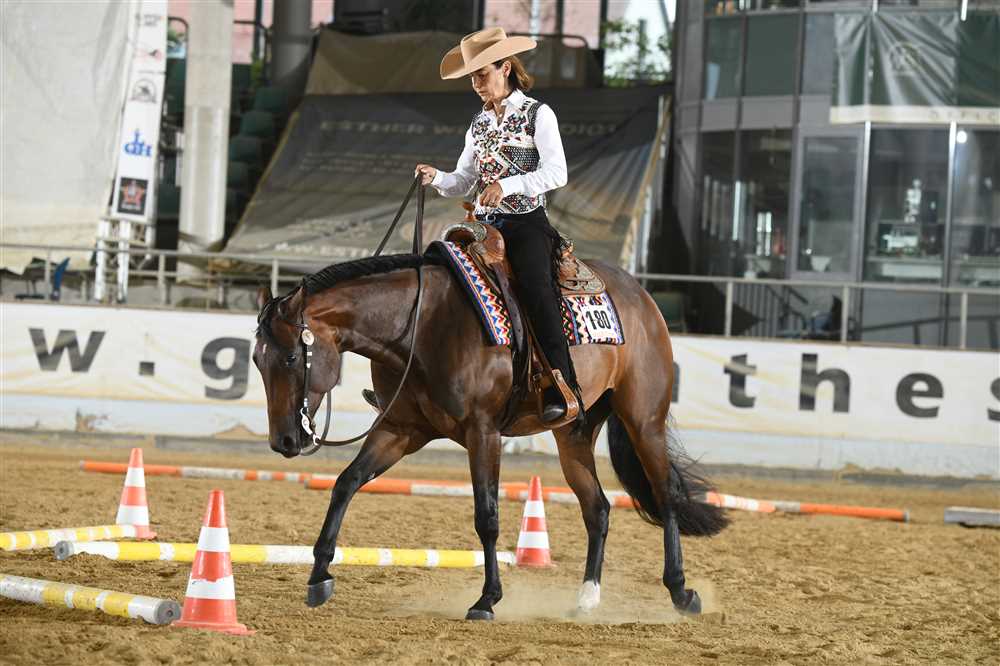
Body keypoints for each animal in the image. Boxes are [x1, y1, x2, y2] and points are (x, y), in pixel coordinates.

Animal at [253, 251, 728, 620]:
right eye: (257, 361)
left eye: (292, 356)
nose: (283, 442)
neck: (420, 327)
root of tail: (642, 296)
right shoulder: (399, 430)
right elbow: (346, 483)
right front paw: (319, 575)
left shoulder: (483, 432)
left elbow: (488, 516)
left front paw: (486, 600)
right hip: (573, 436)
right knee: (598, 508)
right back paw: (587, 598)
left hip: (644, 419)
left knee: (665, 495)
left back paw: (681, 591)